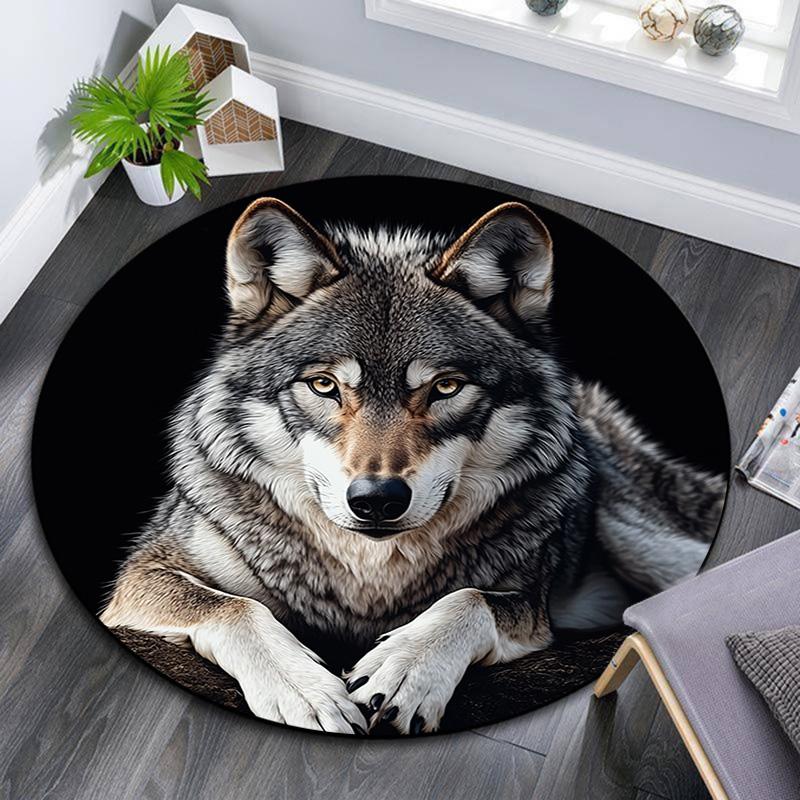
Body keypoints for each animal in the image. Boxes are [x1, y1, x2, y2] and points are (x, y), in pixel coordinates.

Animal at [100, 197, 725, 735]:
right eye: (324, 386)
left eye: (445, 387)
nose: (376, 499)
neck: (370, 579)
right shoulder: (139, 578)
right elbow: (237, 607)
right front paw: (305, 691)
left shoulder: (534, 607)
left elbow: (467, 599)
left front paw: (404, 669)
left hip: (644, 547)